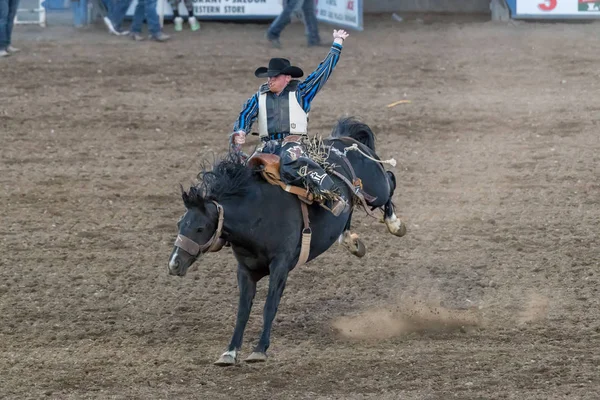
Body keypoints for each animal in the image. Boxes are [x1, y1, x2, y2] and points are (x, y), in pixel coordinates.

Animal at [169, 115, 408, 366]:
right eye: (179, 224)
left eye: (199, 228)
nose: (174, 264)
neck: (257, 214)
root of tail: (345, 139)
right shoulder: (245, 270)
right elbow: (243, 311)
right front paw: (230, 352)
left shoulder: (280, 266)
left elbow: (269, 306)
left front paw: (259, 350)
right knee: (350, 205)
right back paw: (350, 240)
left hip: (377, 188)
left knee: (390, 181)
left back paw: (394, 224)